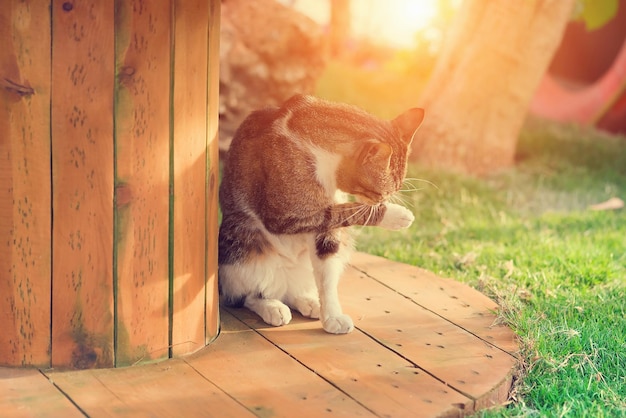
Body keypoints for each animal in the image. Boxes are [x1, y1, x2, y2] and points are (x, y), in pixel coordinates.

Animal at [216, 94, 424, 334]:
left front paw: (331, 316)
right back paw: (272, 307)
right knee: (247, 295)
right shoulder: (282, 216)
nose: (384, 201)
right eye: (381, 192)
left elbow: (327, 276)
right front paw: (396, 215)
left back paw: (308, 301)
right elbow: (344, 211)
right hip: (243, 246)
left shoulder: (325, 233)